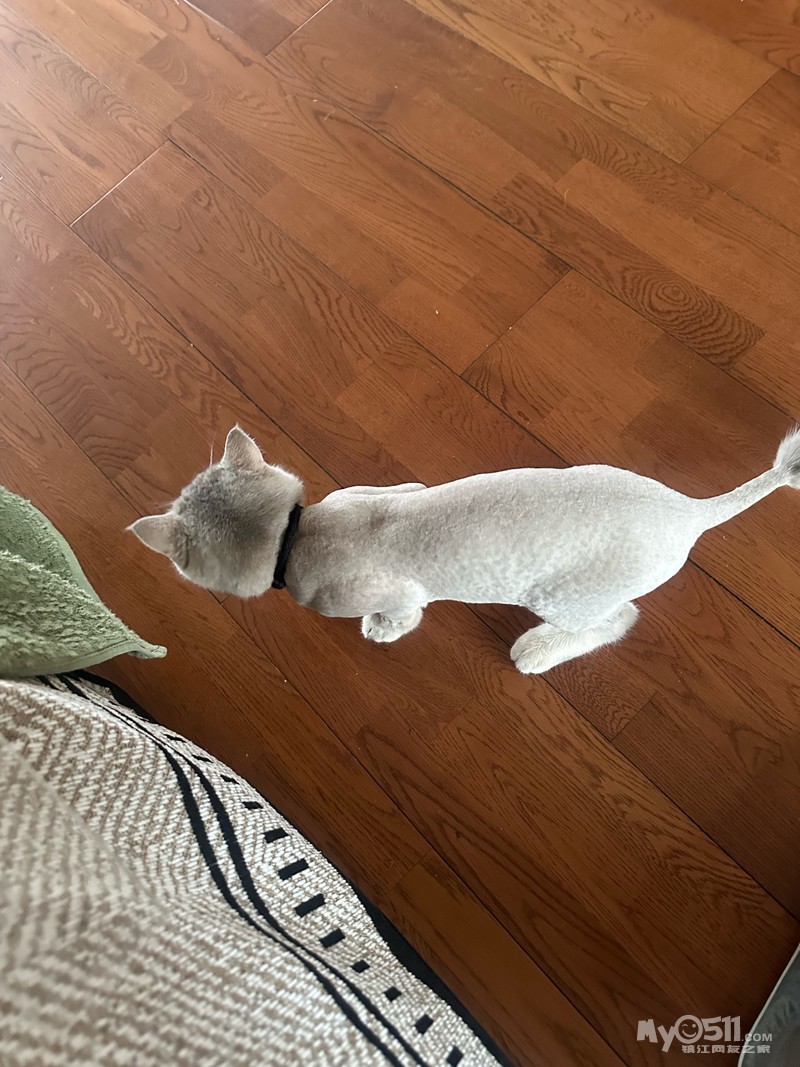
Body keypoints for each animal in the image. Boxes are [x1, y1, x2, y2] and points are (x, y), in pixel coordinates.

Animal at [129, 425, 800, 674]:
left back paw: (536, 653)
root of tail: (689, 511)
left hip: (565, 596)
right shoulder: (393, 490)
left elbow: (400, 616)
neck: (296, 533)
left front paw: (381, 633)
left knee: (617, 620)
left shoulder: (394, 591)